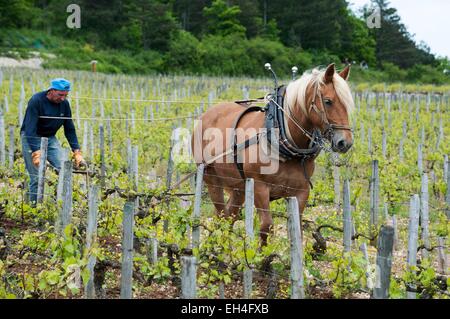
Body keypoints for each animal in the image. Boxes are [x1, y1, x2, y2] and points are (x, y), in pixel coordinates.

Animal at [192, 64, 354, 245]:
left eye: (347, 104)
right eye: (328, 101)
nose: (345, 142)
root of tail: (207, 114)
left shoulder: (301, 190)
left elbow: (297, 230)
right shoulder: (259, 187)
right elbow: (267, 226)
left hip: (239, 187)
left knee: (229, 216)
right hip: (211, 178)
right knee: (221, 215)